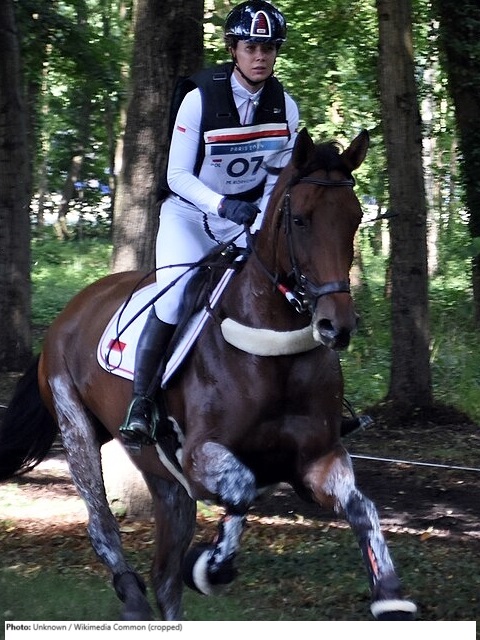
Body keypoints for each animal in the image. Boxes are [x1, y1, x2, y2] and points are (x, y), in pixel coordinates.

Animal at [0, 128, 416, 621]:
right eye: (300, 220)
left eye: (354, 218)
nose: (337, 326)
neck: (274, 355)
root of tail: (71, 311)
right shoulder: (201, 455)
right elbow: (242, 489)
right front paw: (211, 568)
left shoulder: (317, 458)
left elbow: (360, 506)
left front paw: (390, 593)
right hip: (76, 427)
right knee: (103, 526)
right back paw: (132, 595)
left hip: (163, 478)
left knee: (165, 575)